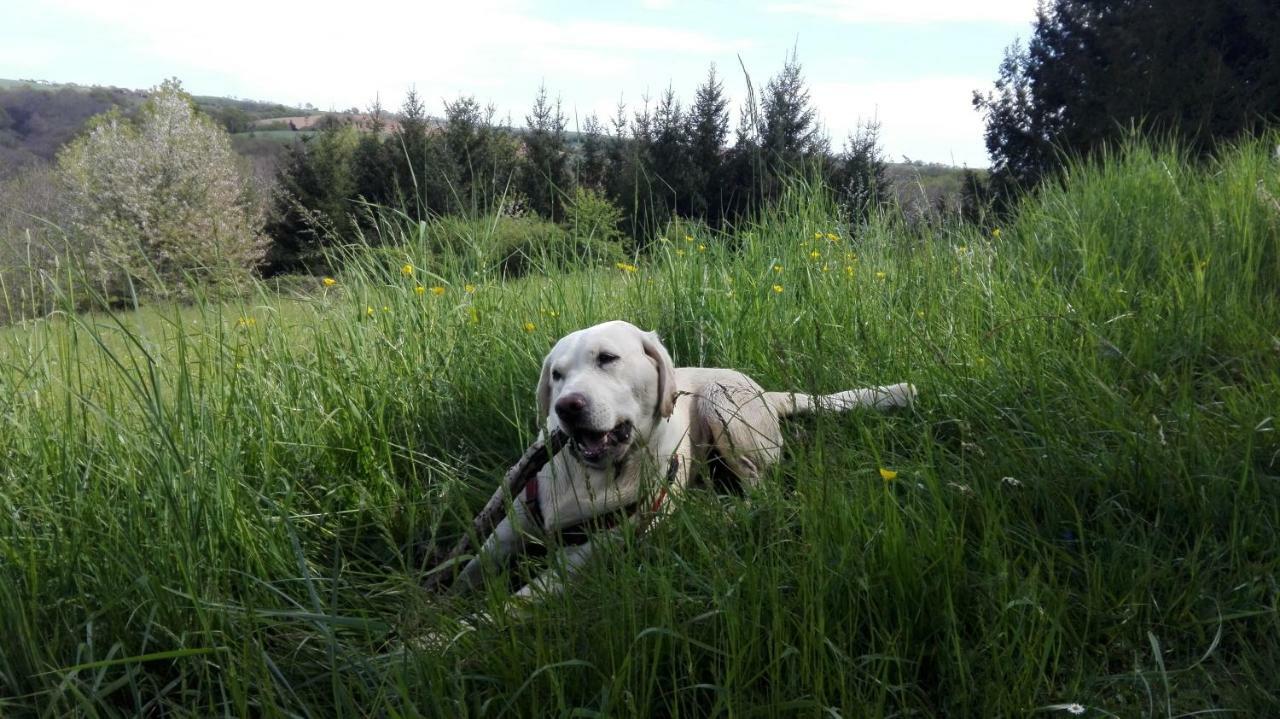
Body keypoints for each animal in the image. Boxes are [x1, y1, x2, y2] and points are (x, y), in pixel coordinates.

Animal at [455, 322, 916, 596]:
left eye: (607, 358)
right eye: (557, 374)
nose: (567, 407)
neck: (591, 475)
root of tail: (767, 392)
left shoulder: (592, 550)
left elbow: (518, 599)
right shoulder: (507, 529)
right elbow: (465, 569)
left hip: (720, 406)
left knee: (761, 493)